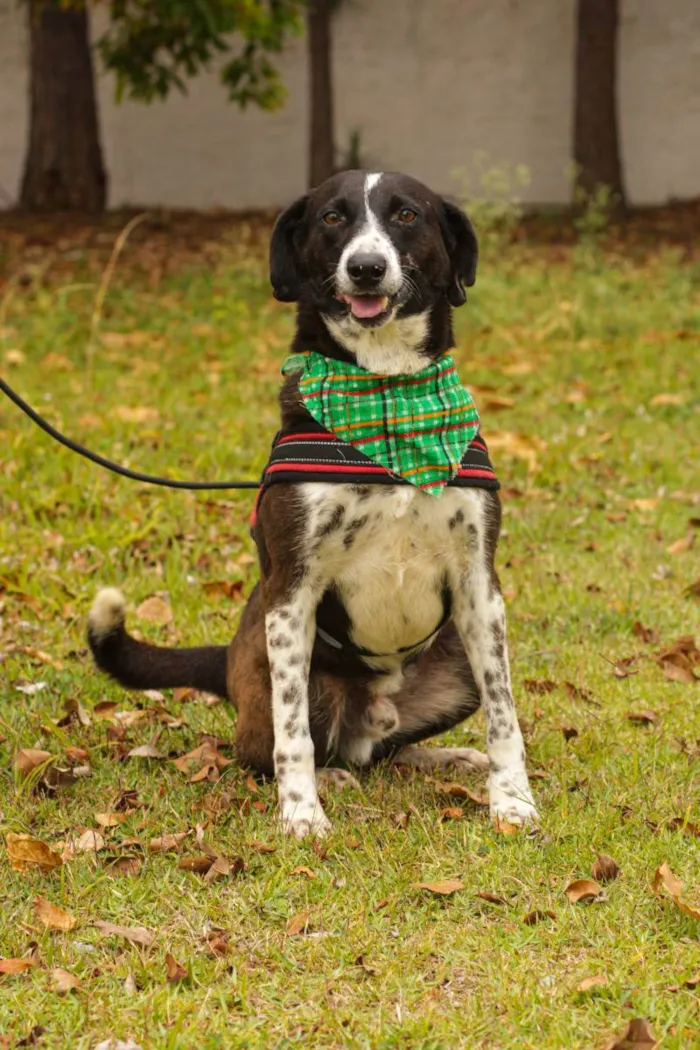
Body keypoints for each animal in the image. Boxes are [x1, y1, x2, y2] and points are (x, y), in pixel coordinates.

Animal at [86, 170, 537, 835]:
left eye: (407, 214)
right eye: (332, 218)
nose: (367, 268)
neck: (385, 392)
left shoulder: (480, 583)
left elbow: (504, 714)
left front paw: (512, 800)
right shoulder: (292, 592)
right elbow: (291, 731)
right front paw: (301, 814)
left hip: (456, 665)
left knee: (386, 750)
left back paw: (449, 757)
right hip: (294, 678)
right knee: (273, 747)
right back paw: (327, 777)